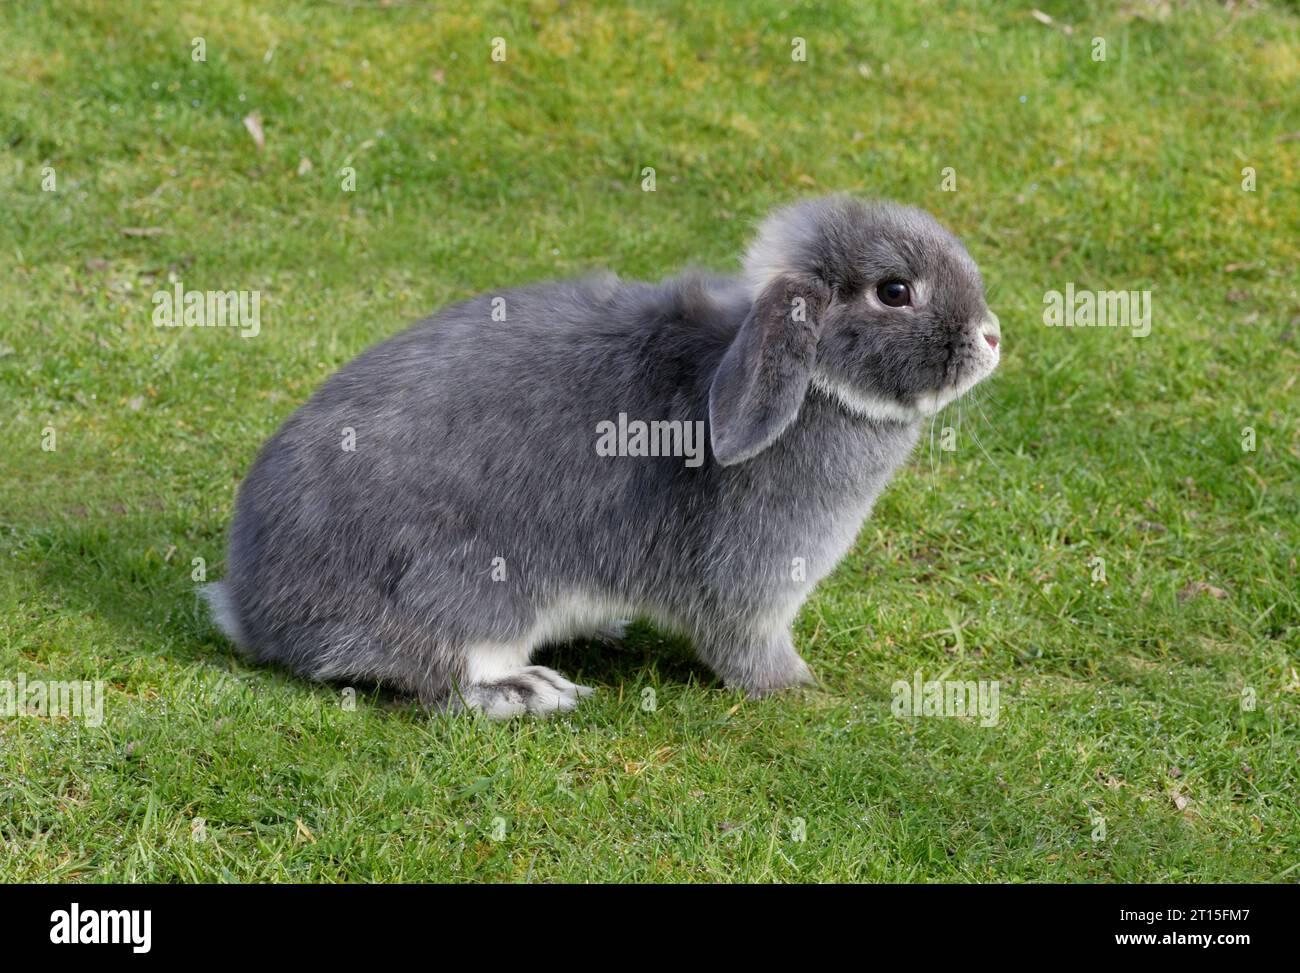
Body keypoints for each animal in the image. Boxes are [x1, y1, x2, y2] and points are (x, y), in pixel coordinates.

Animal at [203, 195, 1001, 718]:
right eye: (894, 291)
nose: (992, 338)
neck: (812, 384)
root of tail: (253, 611)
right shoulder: (753, 586)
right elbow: (747, 645)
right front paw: (799, 687)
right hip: (465, 591)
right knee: (436, 679)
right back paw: (529, 691)